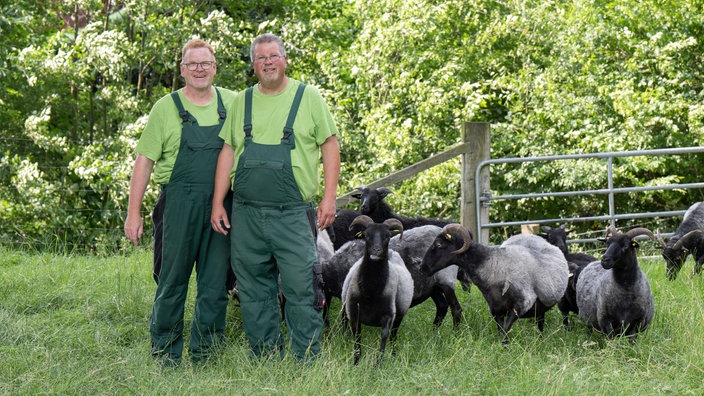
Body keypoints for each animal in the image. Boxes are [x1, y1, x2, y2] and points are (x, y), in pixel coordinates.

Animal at [340, 217, 412, 366]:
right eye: (366, 235)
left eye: (387, 236)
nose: (376, 251)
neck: (370, 292)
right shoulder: (353, 314)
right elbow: (357, 338)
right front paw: (356, 362)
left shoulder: (388, 315)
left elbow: (384, 336)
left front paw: (378, 364)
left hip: (399, 316)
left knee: (393, 336)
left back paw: (394, 354)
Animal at [418, 224, 568, 344]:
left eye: (438, 244)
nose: (422, 268)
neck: (495, 265)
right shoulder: (496, 309)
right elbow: (501, 330)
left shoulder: (522, 304)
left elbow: (506, 329)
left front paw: (504, 347)